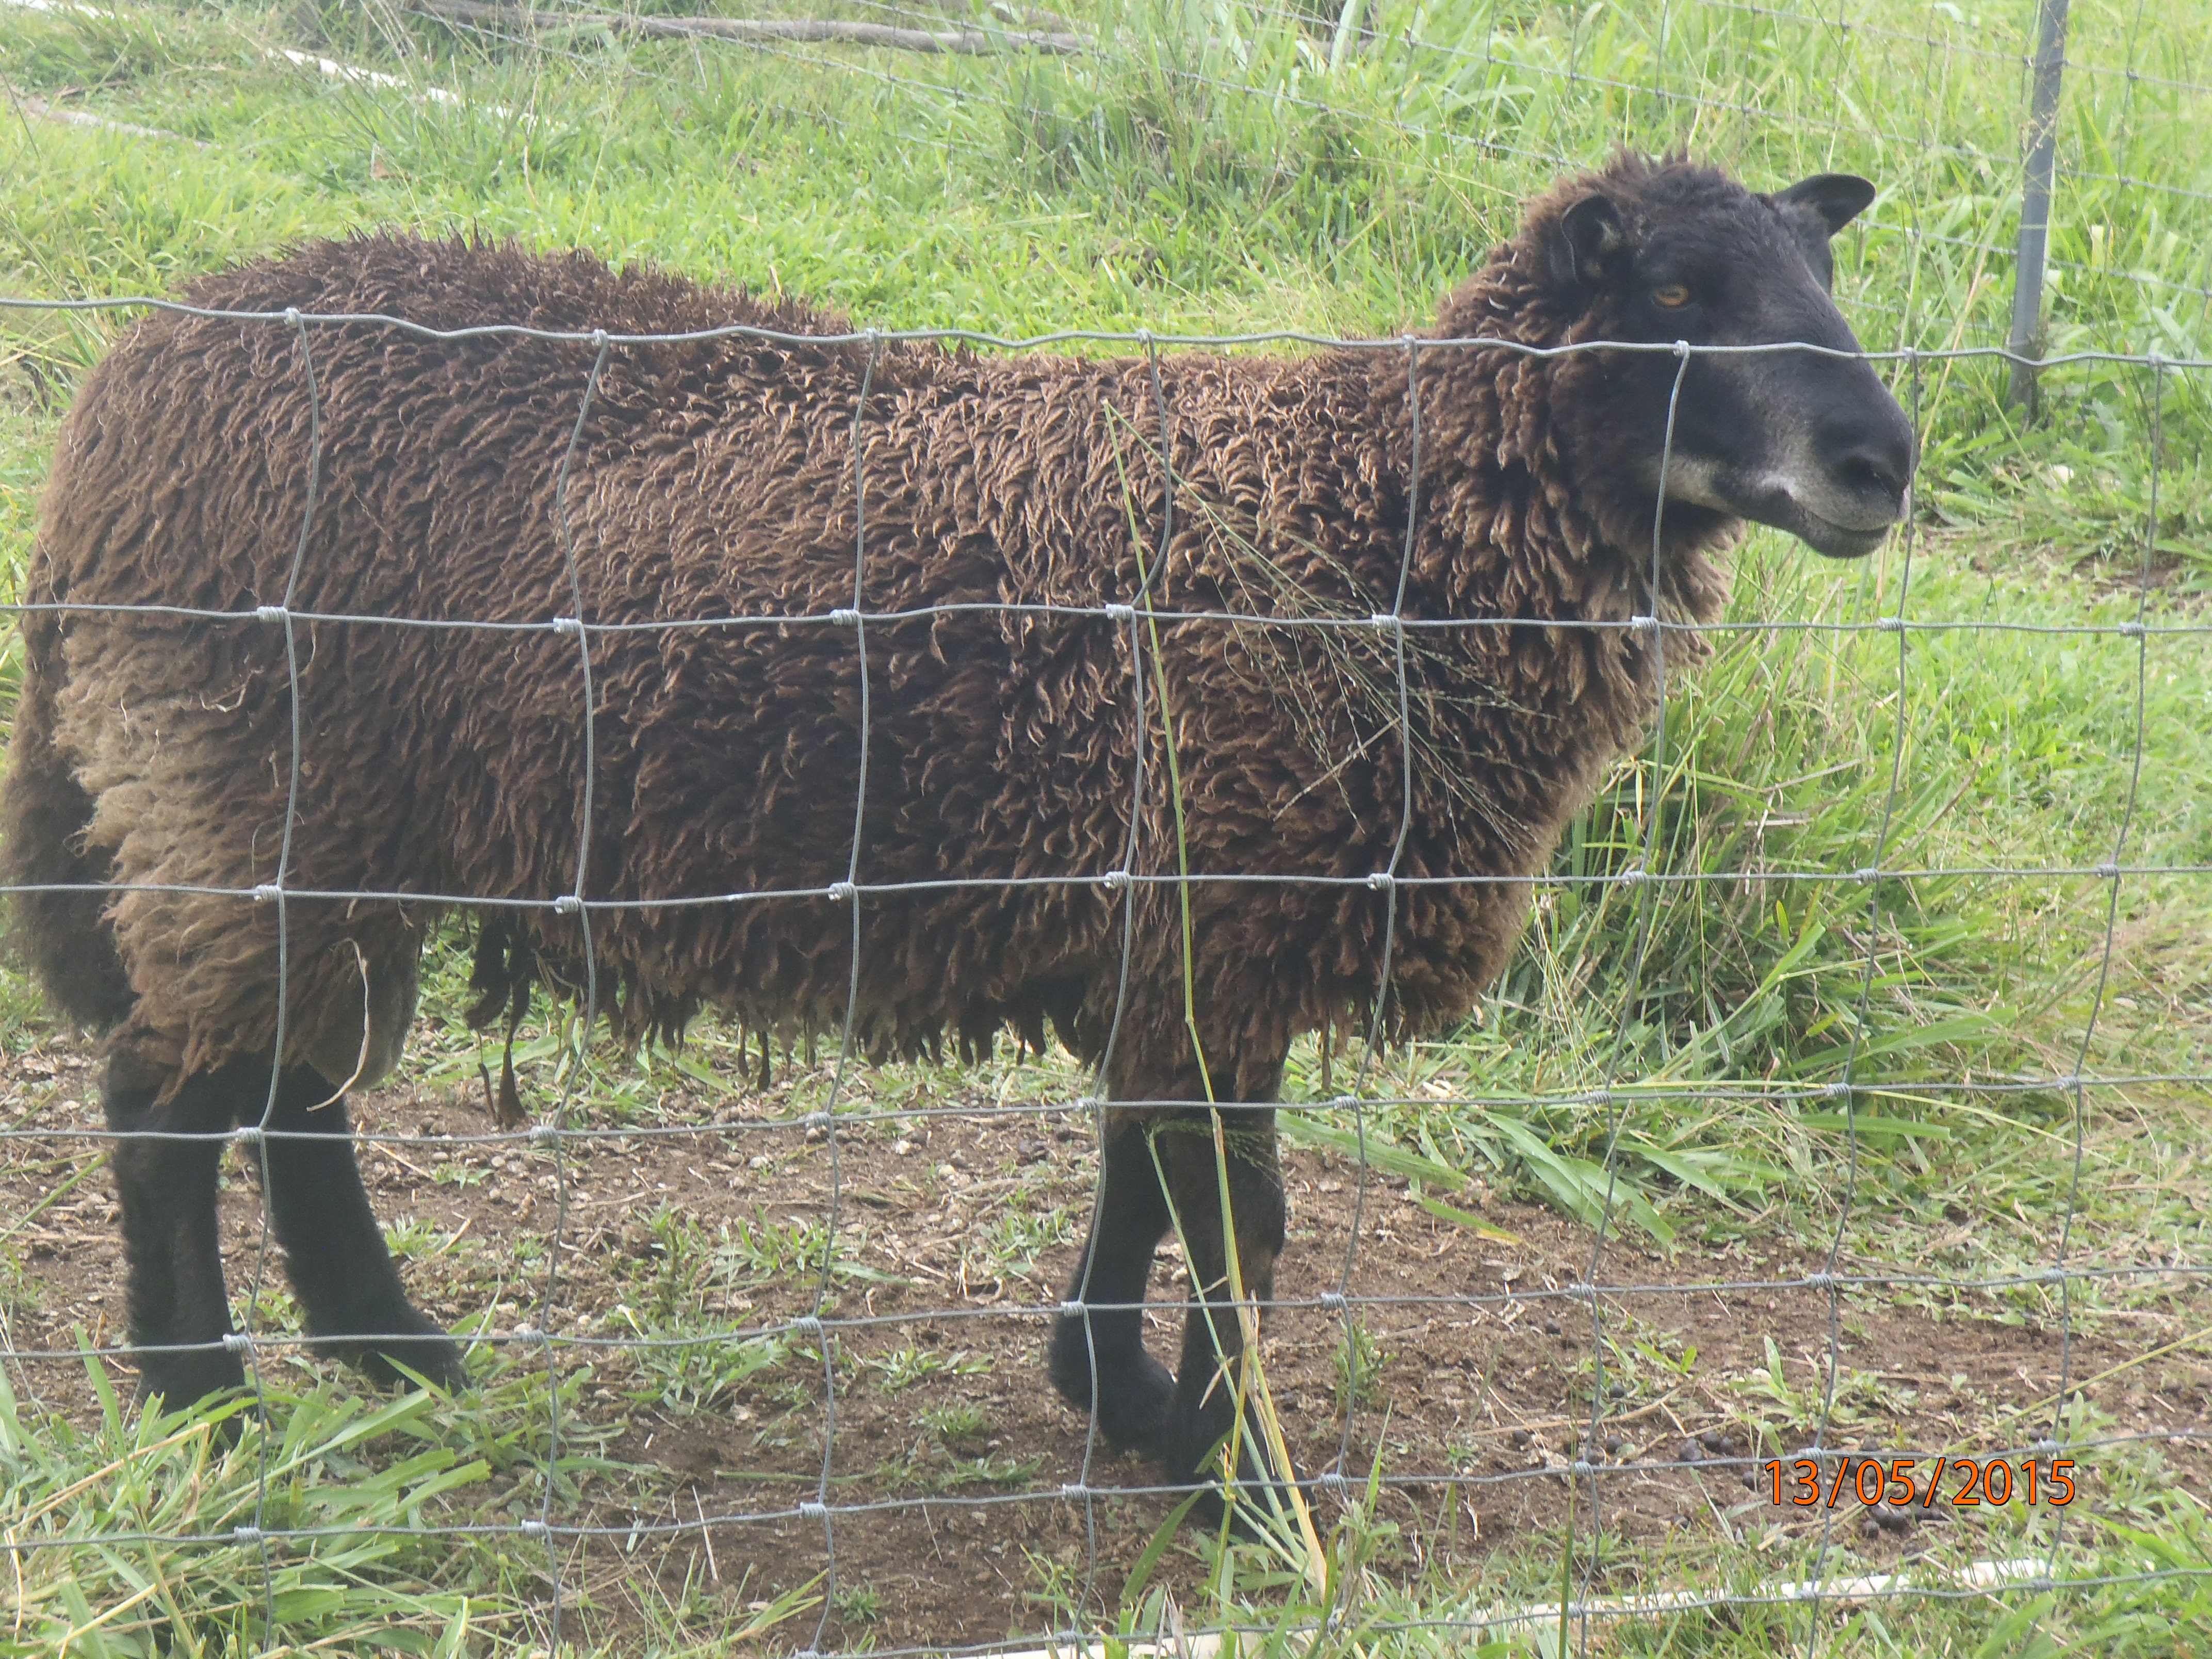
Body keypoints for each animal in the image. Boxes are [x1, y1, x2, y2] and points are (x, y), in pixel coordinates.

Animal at [0, 152, 1911, 1522]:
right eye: (1676, 293)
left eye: (1821, 282)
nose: (1880, 464)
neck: (1363, 530)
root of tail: (132, 381)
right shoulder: (1220, 910)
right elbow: (1244, 1219)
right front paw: (1240, 1486)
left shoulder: (1183, 930)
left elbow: (1146, 1172)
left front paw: (1124, 1402)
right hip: (236, 771)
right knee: (170, 1106)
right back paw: (208, 1413)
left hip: (327, 815)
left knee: (287, 1091)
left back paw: (392, 1354)